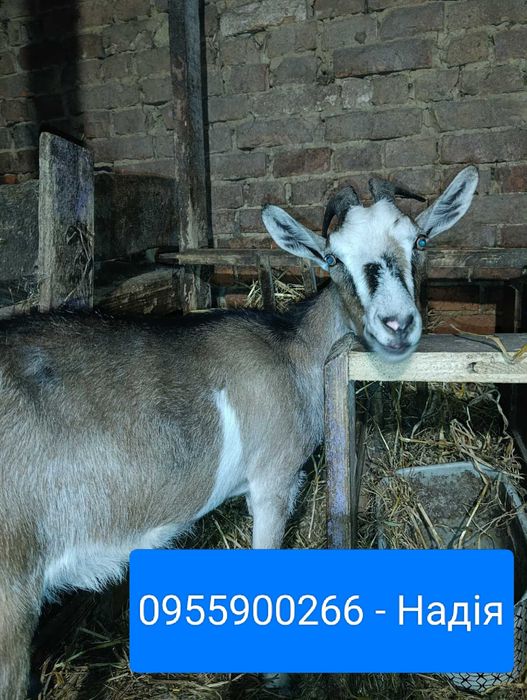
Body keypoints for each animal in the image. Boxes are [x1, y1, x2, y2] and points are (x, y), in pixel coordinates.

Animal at [0, 166, 478, 699]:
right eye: (333, 258)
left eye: (419, 241)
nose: (397, 323)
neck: (291, 351)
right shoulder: (273, 479)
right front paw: (276, 679)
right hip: (12, 588)